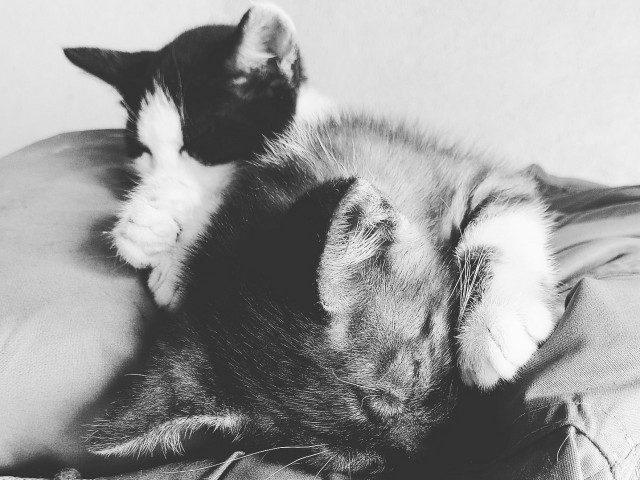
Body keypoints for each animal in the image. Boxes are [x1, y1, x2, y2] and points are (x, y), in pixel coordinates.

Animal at [65, 3, 556, 476]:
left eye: (417, 372)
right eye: (360, 463)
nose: (452, 458)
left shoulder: (484, 175)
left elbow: (503, 225)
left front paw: (497, 324)